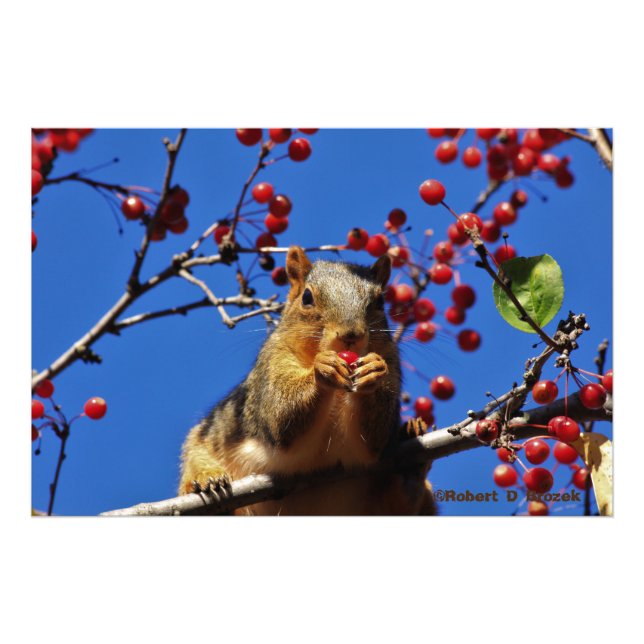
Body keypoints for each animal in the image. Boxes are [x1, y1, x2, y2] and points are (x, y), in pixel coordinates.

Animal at [178, 245, 435, 515]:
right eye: (307, 297)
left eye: (380, 301)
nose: (351, 335)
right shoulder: (272, 363)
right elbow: (280, 412)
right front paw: (322, 369)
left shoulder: (391, 360)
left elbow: (375, 438)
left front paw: (373, 370)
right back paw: (209, 480)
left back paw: (411, 459)